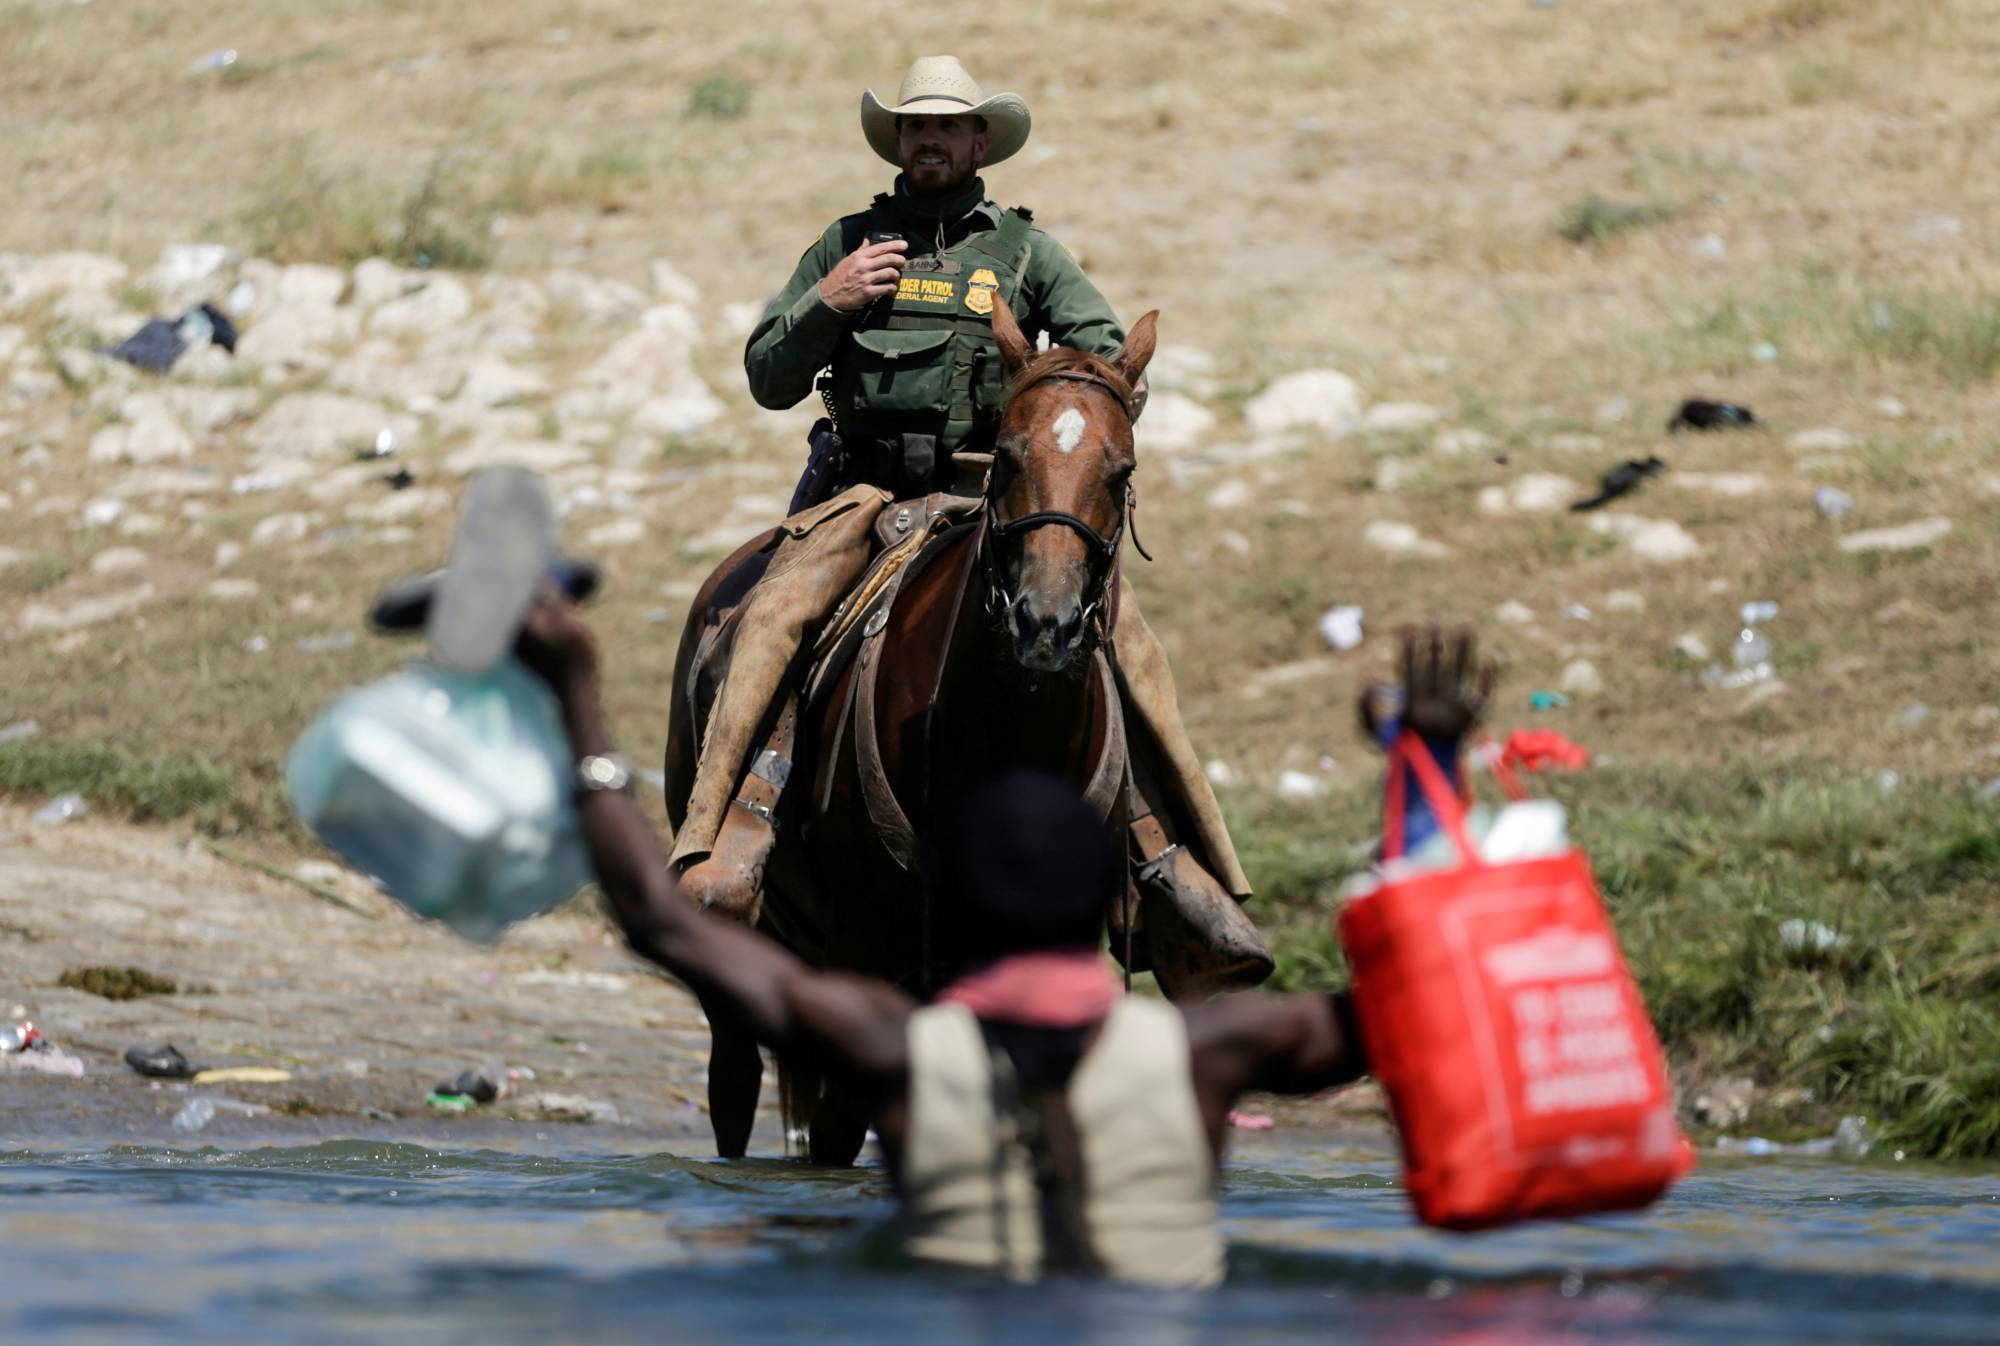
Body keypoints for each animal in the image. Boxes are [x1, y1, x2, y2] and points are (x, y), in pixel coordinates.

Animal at [672, 300, 1264, 1160]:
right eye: (1007, 460)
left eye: (1121, 473)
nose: (1046, 625)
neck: (1001, 748)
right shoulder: (866, 947)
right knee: (735, 1083)